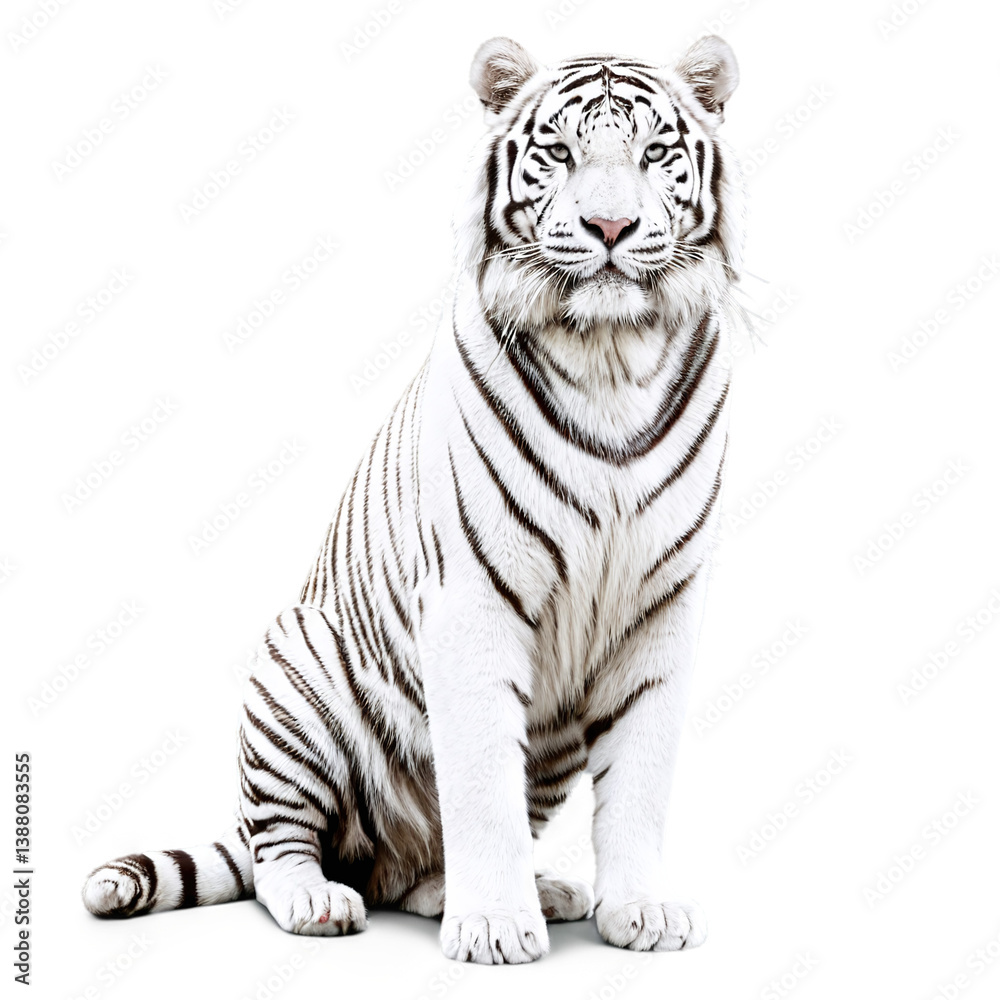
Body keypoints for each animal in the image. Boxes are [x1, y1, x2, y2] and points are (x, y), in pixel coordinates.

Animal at [81, 34, 746, 965]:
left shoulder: (662, 605)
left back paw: (523, 890)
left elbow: (640, 777)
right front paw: (497, 927)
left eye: (654, 154)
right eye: (560, 153)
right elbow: (480, 780)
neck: (611, 354)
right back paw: (322, 901)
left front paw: (639, 912)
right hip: (295, 667)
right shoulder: (471, 596)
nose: (611, 228)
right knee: (282, 848)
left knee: (408, 870)